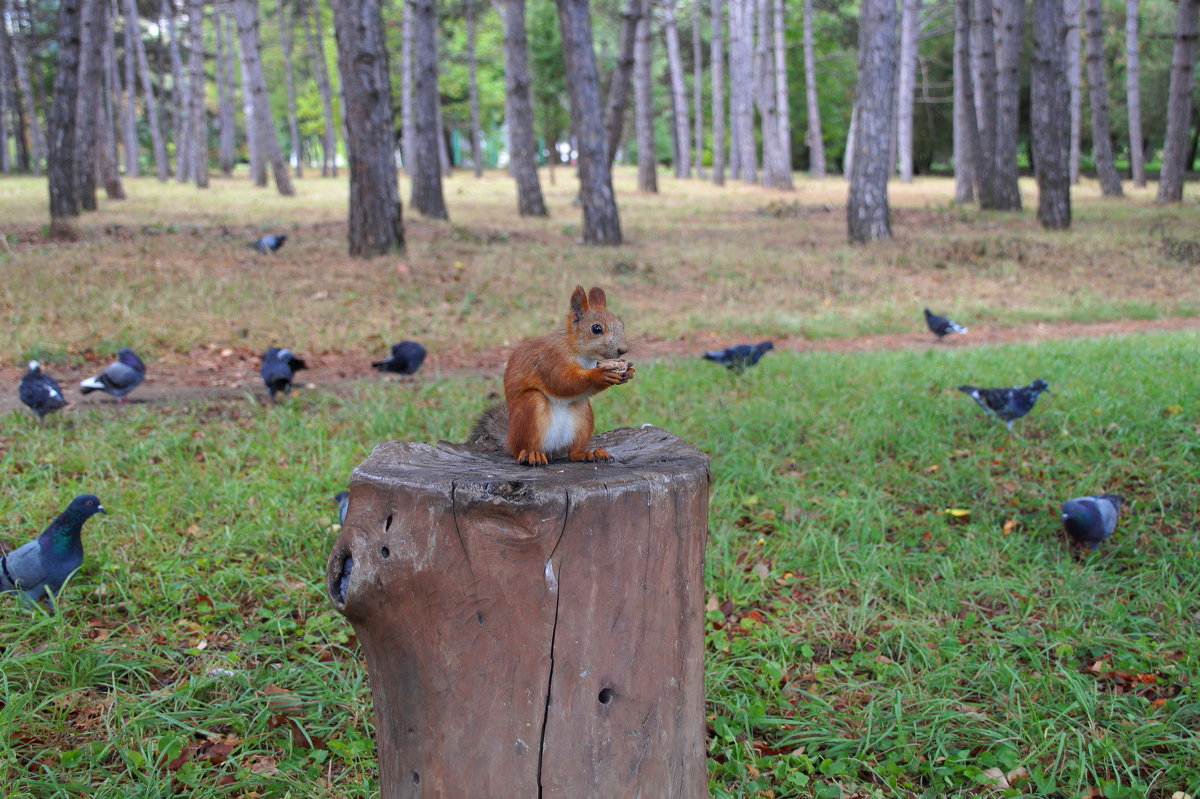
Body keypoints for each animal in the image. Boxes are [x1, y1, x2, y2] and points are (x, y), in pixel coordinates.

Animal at [470, 286, 638, 463]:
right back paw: (531, 454)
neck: (582, 354)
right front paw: (598, 374)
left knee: (572, 453)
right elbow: (561, 382)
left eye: (621, 323)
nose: (623, 350)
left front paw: (628, 372)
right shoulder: (550, 360)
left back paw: (588, 453)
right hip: (530, 408)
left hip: (582, 414)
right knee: (522, 449)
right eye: (596, 328)